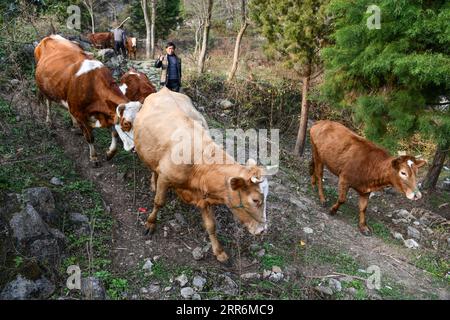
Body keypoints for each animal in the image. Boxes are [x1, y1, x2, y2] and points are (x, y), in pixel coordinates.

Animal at [34, 35, 142, 165]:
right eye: (126, 124)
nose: (136, 148)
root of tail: (50, 36)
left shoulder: (107, 112)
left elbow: (115, 133)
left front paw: (110, 153)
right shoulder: (80, 114)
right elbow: (90, 137)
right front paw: (94, 157)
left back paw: (75, 125)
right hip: (44, 88)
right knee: (48, 102)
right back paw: (49, 121)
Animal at [132, 87, 268, 262]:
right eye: (255, 200)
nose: (263, 230)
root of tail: (165, 89)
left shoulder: (204, 196)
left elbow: (211, 226)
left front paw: (219, 252)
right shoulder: (165, 177)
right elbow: (159, 202)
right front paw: (150, 223)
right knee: (153, 171)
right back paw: (153, 184)